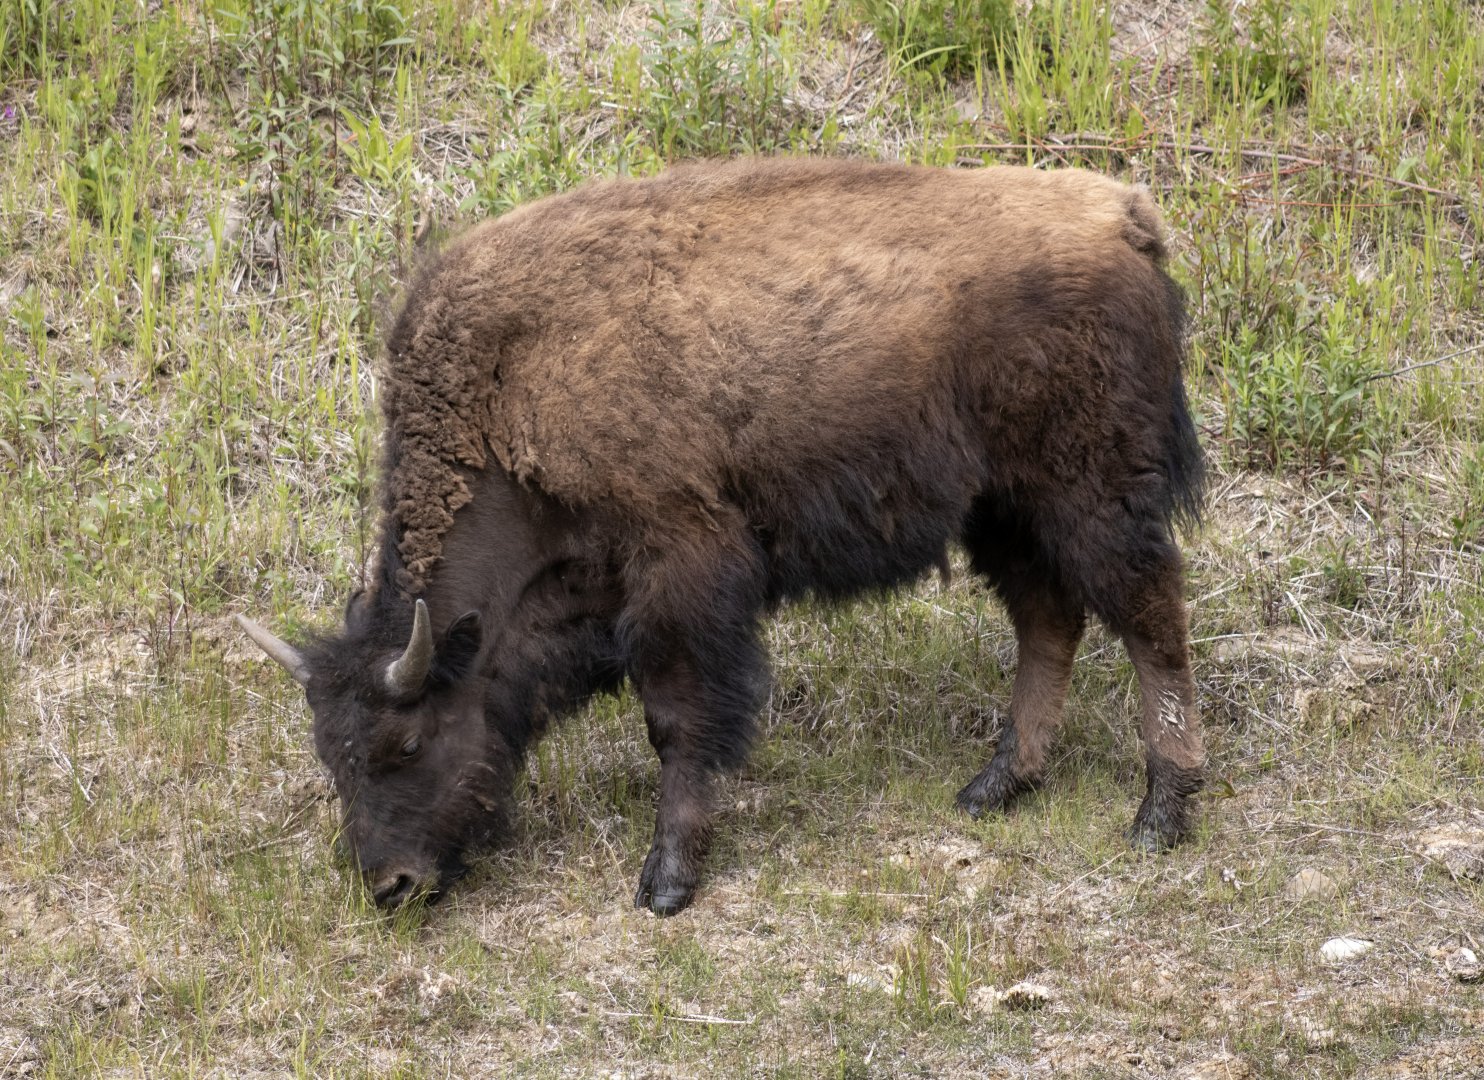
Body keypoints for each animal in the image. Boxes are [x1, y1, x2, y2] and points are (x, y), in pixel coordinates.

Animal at [238, 157, 1206, 915]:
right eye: (331, 757)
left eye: (404, 743)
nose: (391, 886)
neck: (508, 394)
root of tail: (1125, 217)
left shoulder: (681, 570)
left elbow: (677, 718)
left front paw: (666, 881)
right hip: (1003, 509)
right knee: (1050, 619)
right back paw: (995, 786)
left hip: (1089, 493)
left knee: (1149, 615)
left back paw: (1160, 813)